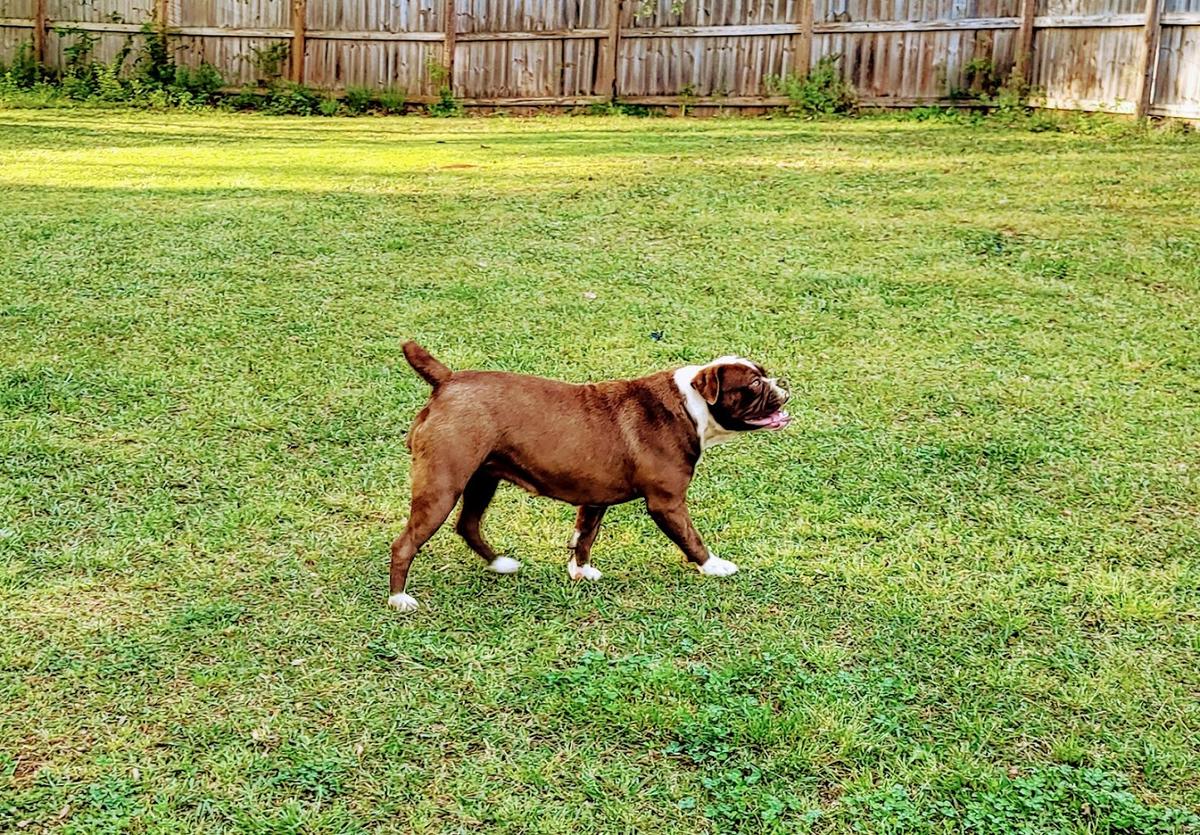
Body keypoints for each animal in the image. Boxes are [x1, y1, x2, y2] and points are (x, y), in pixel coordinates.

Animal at [388, 343, 792, 609]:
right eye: (754, 385)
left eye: (765, 374)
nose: (783, 385)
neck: (689, 405)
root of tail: (448, 380)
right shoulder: (667, 502)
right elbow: (691, 538)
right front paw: (714, 566)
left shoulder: (595, 498)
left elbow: (584, 536)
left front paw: (580, 572)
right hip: (443, 483)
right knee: (405, 543)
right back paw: (399, 599)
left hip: (482, 478)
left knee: (468, 524)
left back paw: (500, 563)